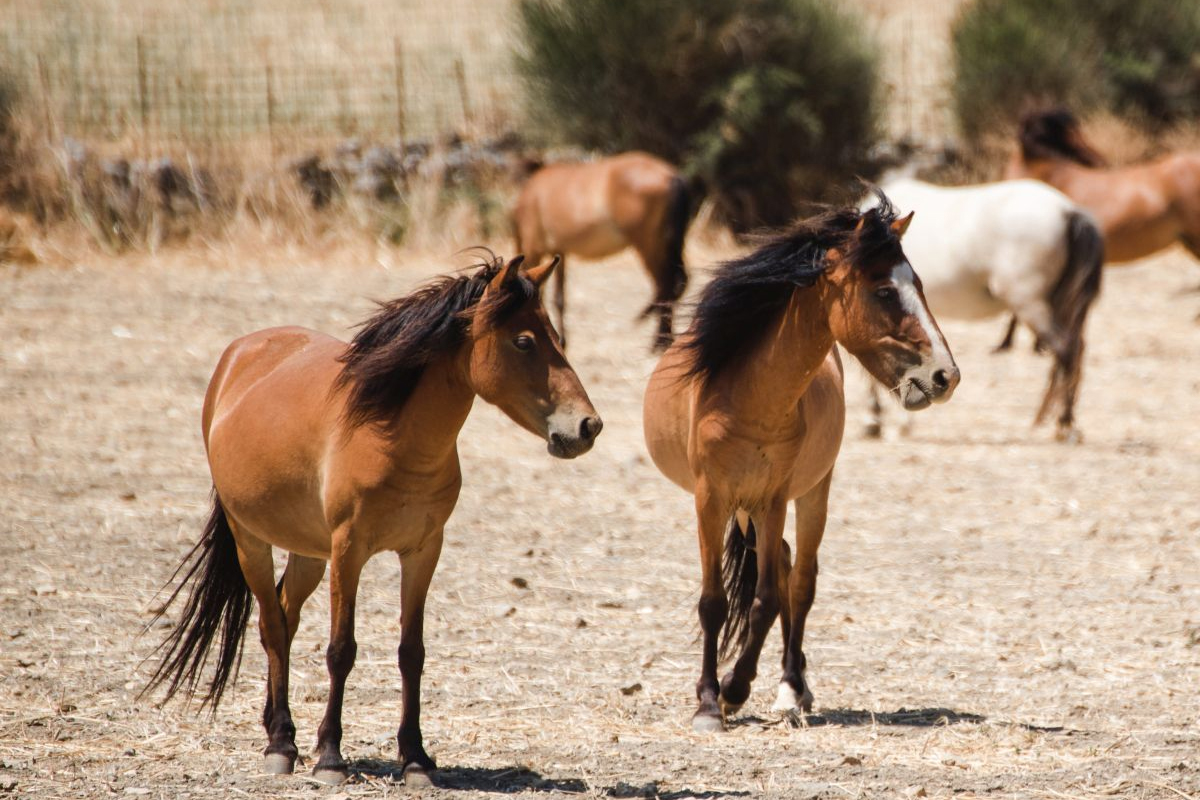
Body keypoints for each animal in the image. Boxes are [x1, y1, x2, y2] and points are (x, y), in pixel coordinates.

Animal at [142, 254, 602, 786]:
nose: (588, 426)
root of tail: (239, 355)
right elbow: (341, 650)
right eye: (524, 341)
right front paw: (330, 756)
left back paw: (278, 728)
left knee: (285, 617)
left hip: (308, 551)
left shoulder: (424, 550)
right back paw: (281, 744)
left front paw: (416, 758)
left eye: (555, 336)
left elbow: (411, 652)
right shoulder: (350, 550)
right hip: (250, 539)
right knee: (273, 627)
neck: (391, 436)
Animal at [512, 151, 690, 352]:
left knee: (665, 284)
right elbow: (559, 299)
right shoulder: (559, 252)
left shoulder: (534, 250)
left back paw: (660, 341)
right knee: (675, 283)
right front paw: (562, 341)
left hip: (648, 245)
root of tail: (671, 176)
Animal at [642, 194, 959, 732]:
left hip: (808, 493)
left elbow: (768, 598)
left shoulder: (773, 498)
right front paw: (708, 703)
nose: (945, 376)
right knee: (785, 567)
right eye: (885, 291)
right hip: (744, 506)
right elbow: (713, 602)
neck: (749, 396)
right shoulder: (711, 499)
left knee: (800, 577)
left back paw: (793, 687)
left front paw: (735, 689)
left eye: (917, 284)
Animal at [863, 177, 1103, 441]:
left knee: (1066, 351)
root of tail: (1068, 211)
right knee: (1075, 351)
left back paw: (1064, 424)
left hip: (1031, 305)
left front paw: (880, 421)